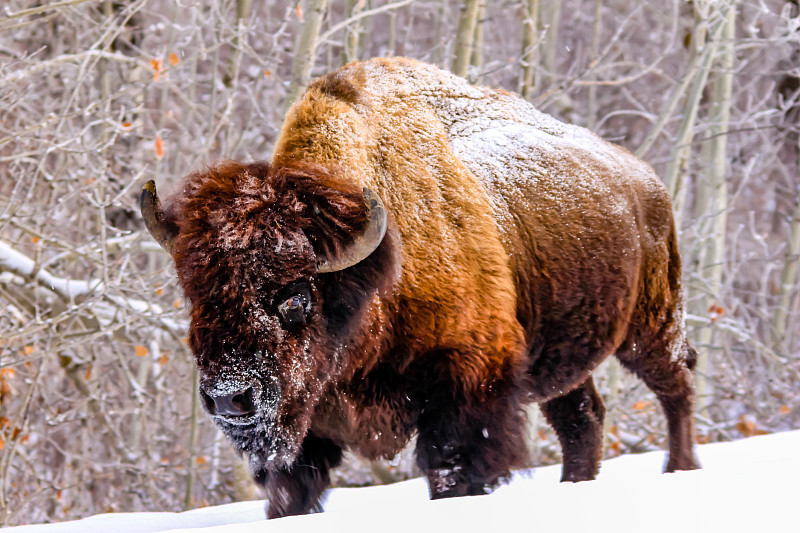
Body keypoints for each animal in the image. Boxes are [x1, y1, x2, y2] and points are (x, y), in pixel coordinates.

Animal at [141, 57, 696, 516]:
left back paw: (681, 468)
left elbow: (451, 468)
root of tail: (646, 179)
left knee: (676, 383)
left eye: (296, 296)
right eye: (196, 295)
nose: (230, 399)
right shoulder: (307, 424)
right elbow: (291, 491)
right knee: (582, 418)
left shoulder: (468, 385)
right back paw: (575, 486)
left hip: (651, 323)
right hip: (561, 350)